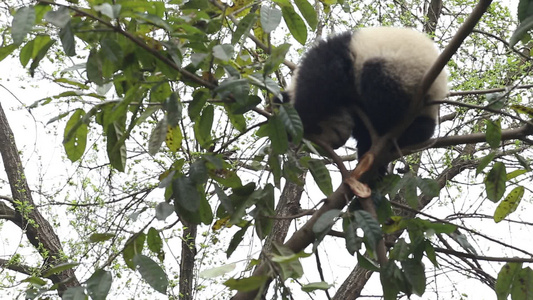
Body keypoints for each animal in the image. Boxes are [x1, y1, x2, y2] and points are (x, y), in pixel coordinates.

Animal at [276, 27, 446, 159]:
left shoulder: (327, 62)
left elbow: (315, 91)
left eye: (318, 130)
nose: (337, 145)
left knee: (378, 85)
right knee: (422, 129)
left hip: (403, 70)